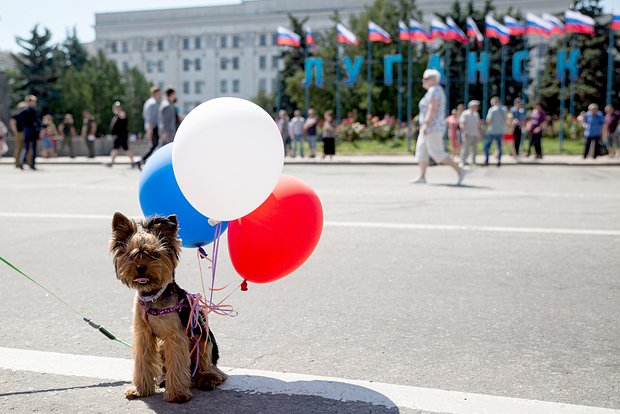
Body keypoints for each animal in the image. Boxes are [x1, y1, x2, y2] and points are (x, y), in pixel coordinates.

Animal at [111, 212, 228, 402]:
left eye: (155, 255)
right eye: (131, 255)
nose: (140, 267)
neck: (152, 296)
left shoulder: (175, 336)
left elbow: (178, 364)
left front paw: (177, 394)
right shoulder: (143, 335)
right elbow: (142, 361)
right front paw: (139, 389)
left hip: (202, 341)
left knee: (209, 368)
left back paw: (207, 379)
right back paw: (164, 379)